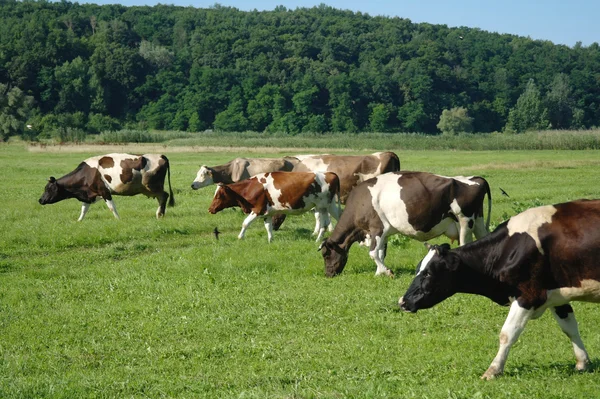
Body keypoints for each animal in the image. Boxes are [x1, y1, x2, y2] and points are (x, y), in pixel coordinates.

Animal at [38, 154, 175, 222]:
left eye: (48, 189)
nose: (40, 200)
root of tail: (161, 155)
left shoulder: (105, 192)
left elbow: (111, 207)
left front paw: (118, 220)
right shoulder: (89, 194)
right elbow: (83, 210)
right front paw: (79, 221)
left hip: (152, 186)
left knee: (164, 196)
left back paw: (160, 215)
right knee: (162, 198)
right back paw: (160, 214)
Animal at [210, 170, 342, 242]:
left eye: (218, 196)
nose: (210, 209)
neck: (251, 187)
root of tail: (330, 173)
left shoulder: (258, 210)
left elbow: (245, 223)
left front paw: (240, 237)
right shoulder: (268, 213)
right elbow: (268, 227)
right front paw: (270, 240)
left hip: (322, 206)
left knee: (324, 225)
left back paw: (318, 239)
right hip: (329, 206)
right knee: (338, 218)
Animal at [318, 172, 492, 278]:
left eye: (325, 254)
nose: (328, 274)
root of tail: (475, 179)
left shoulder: (377, 228)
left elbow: (373, 253)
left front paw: (386, 271)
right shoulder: (384, 232)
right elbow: (381, 252)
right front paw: (378, 273)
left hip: (465, 221)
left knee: (465, 244)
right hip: (478, 221)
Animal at [400, 200, 600, 382]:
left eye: (428, 273)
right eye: (418, 269)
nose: (402, 301)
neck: (509, 248)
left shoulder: (527, 296)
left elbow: (507, 333)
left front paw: (493, 370)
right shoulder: (556, 295)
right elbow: (570, 328)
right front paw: (582, 363)